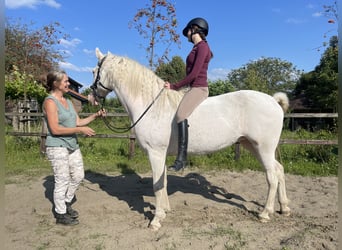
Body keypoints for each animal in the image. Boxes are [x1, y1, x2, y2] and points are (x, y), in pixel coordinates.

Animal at [89, 47, 290, 230]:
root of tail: (273, 101)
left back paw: (265, 213)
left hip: (263, 147)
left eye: (94, 71)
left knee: (272, 176)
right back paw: (284, 208)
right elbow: (163, 182)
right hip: (253, 146)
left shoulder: (155, 153)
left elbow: (157, 185)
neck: (151, 105)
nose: (91, 97)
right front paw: (166, 210)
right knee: (279, 170)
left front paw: (156, 219)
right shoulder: (160, 154)